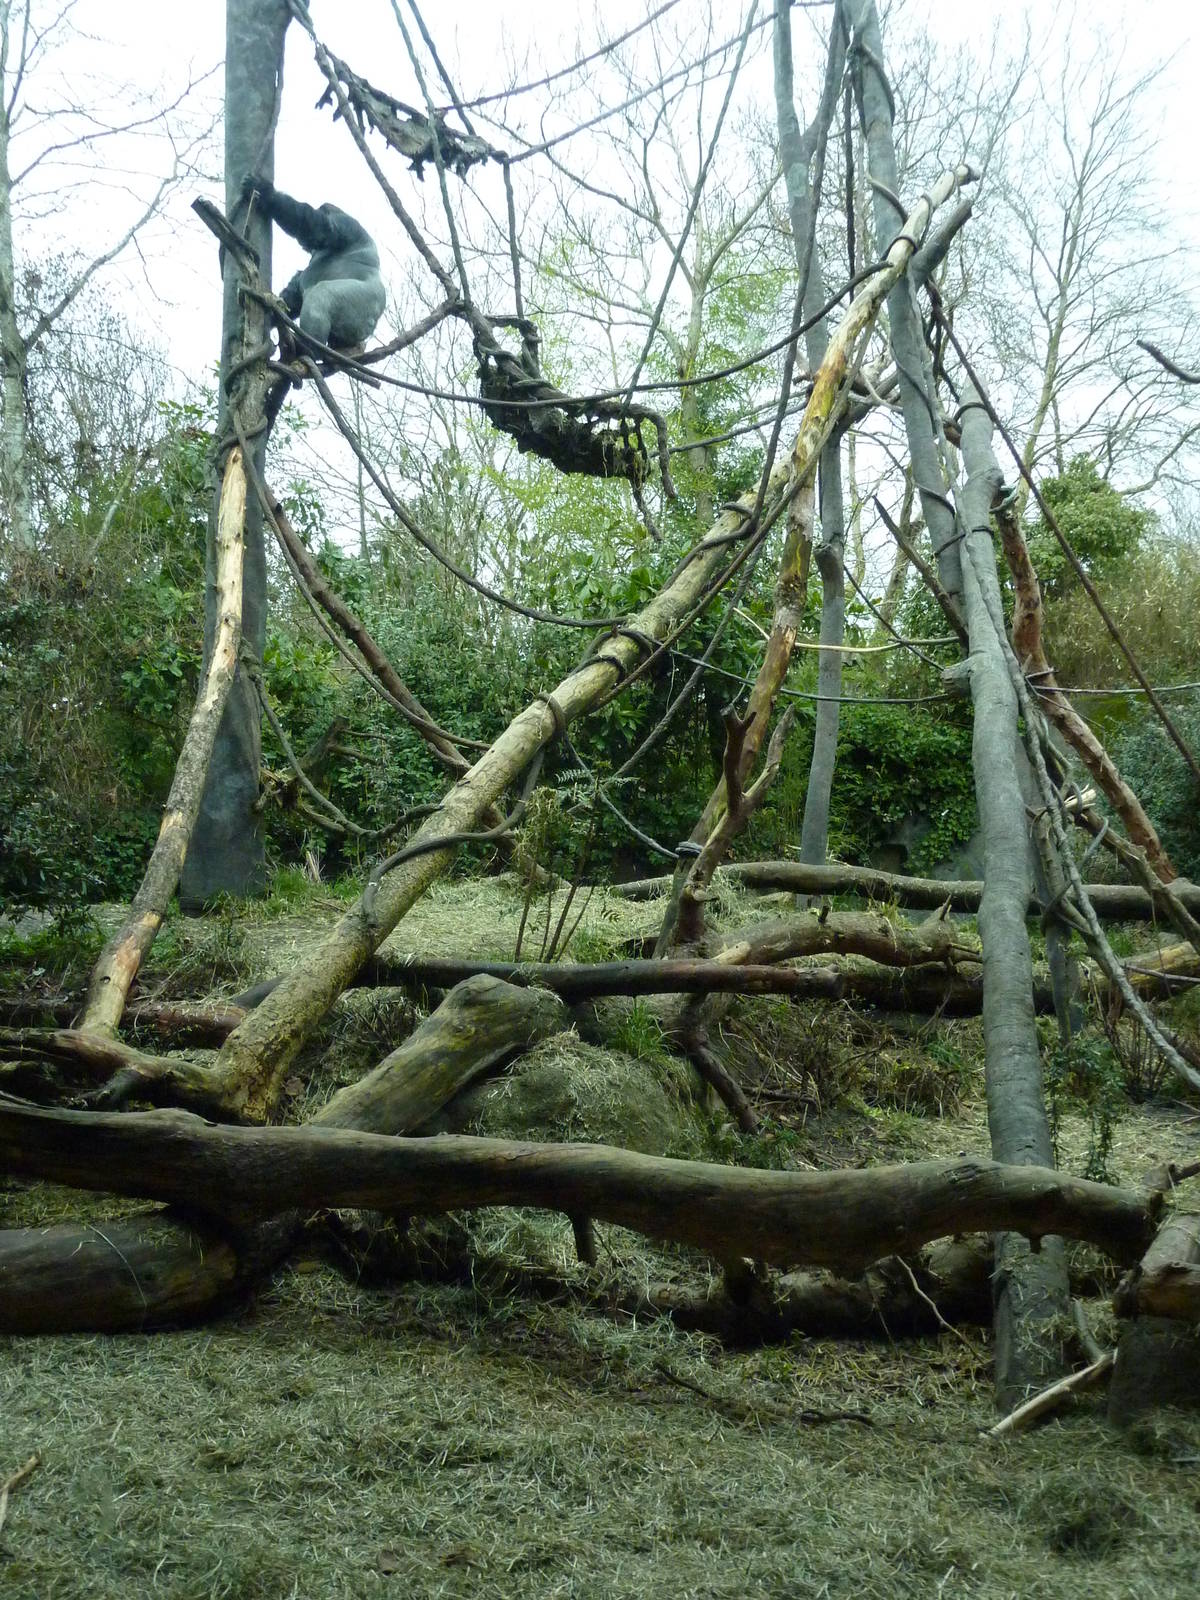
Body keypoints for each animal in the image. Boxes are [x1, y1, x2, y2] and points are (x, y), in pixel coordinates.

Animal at [242, 176, 386, 352]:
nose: (305, 246)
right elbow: (295, 293)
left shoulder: (346, 224)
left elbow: (321, 228)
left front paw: (269, 194)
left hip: (362, 312)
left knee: (321, 295)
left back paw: (311, 348)